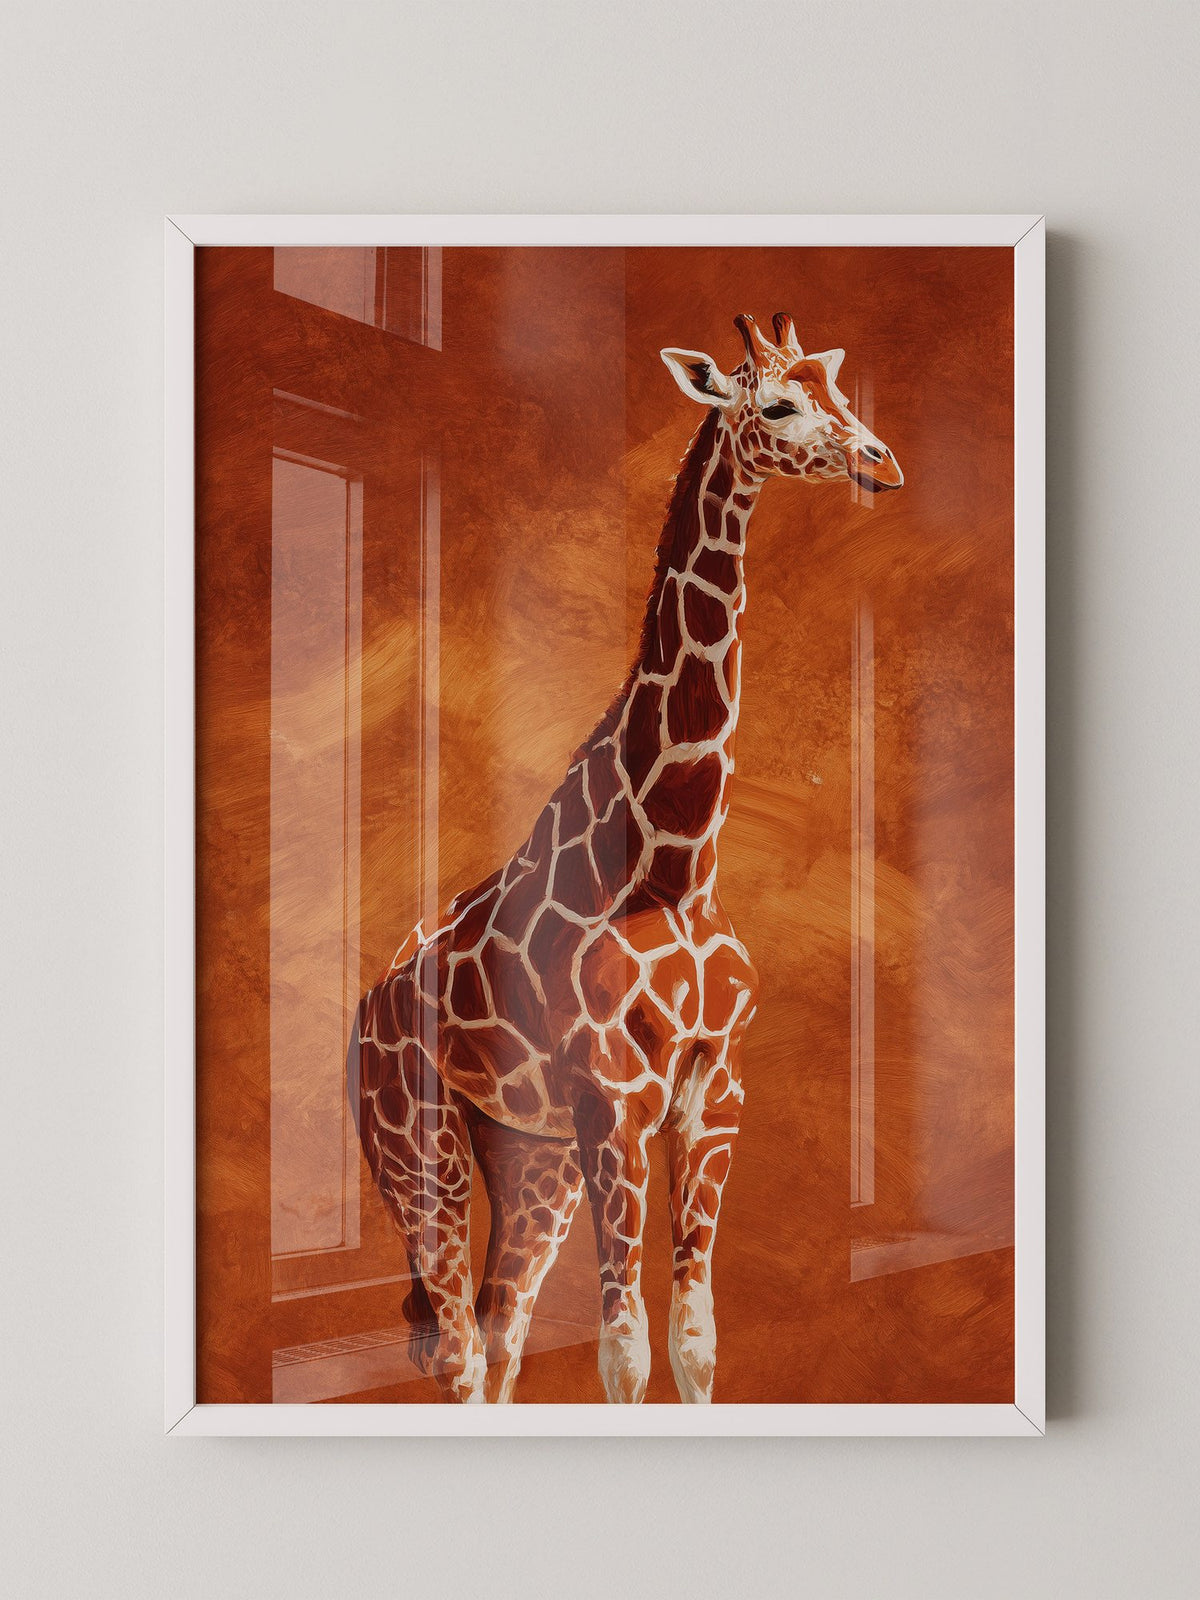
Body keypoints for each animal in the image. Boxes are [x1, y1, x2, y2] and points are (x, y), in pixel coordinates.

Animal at [347, 311, 903, 1404]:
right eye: (780, 404)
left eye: (840, 391)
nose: (880, 463)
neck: (676, 861)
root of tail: (369, 1000)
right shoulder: (613, 1101)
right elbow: (624, 1347)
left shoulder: (711, 1099)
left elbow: (693, 1339)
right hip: (416, 1147)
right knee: (458, 1347)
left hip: (531, 1156)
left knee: (502, 1325)